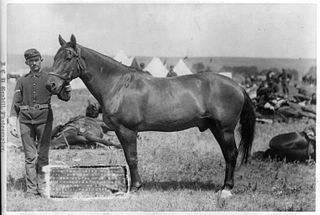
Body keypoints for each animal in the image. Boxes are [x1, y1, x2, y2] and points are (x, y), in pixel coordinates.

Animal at [46, 34, 256, 198]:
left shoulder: (127, 130)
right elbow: (128, 156)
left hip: (225, 129)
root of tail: (238, 86)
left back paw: (226, 189)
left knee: (231, 154)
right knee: (228, 154)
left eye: (69, 57)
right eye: (55, 57)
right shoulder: (120, 131)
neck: (118, 85)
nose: (51, 85)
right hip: (215, 128)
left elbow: (132, 158)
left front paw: (135, 188)